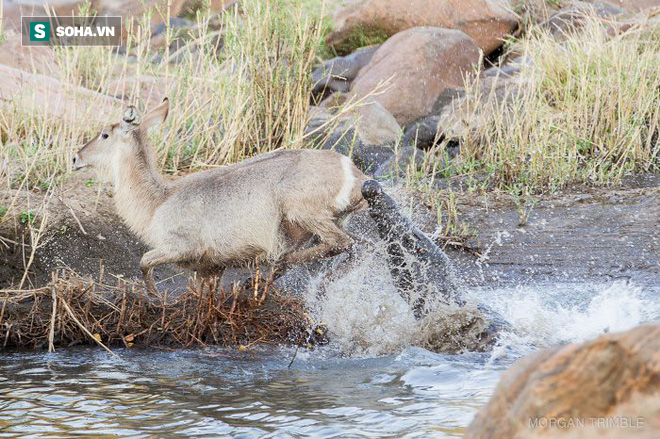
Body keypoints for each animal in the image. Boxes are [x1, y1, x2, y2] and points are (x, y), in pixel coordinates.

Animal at [76, 98, 372, 294]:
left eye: (104, 134)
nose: (76, 157)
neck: (157, 202)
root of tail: (354, 171)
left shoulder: (181, 247)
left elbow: (143, 262)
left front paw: (156, 298)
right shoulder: (210, 268)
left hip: (301, 211)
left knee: (343, 244)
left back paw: (273, 270)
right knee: (357, 246)